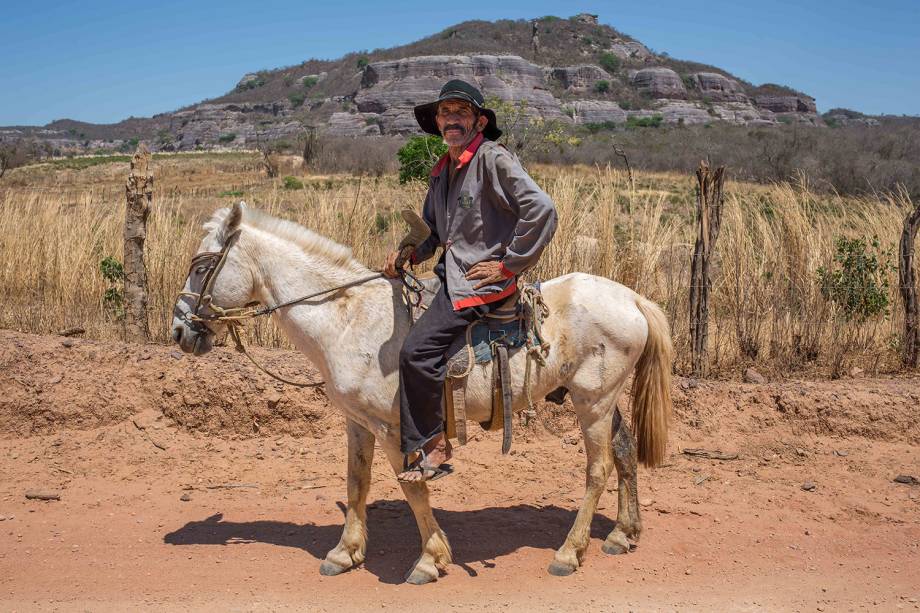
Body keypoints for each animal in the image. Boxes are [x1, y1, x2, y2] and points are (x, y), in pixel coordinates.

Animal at [172, 202, 672, 584]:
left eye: (201, 265)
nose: (179, 331)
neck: (348, 318)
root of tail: (632, 298)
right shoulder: (358, 422)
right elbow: (356, 481)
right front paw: (344, 552)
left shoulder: (395, 428)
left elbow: (412, 488)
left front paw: (430, 560)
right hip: (601, 400)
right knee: (625, 453)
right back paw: (622, 534)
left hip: (593, 402)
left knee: (598, 469)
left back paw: (569, 553)